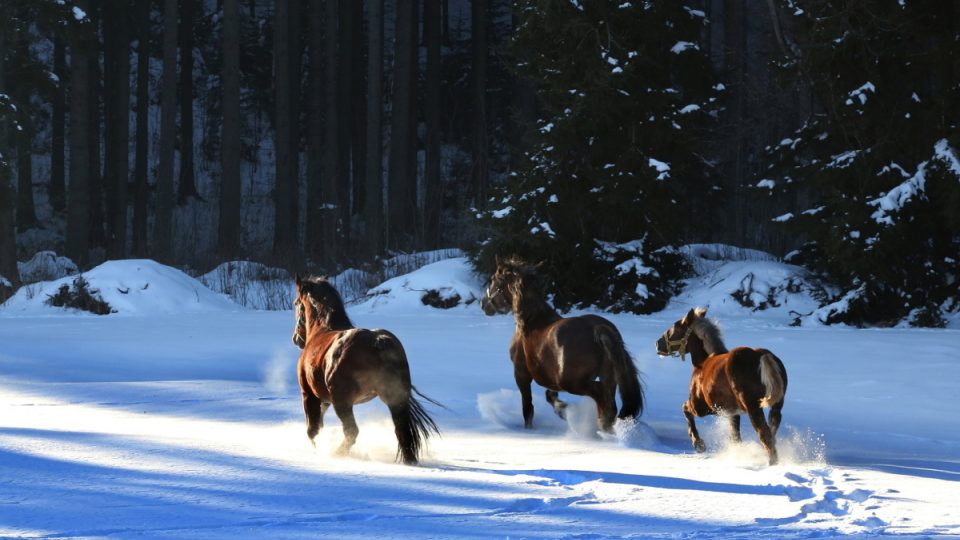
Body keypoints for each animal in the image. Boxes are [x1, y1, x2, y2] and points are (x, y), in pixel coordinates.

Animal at [292, 274, 442, 464]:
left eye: (296, 303)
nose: (296, 339)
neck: (321, 331)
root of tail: (378, 342)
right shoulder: (324, 399)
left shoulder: (309, 394)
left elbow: (313, 430)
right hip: (395, 400)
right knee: (401, 430)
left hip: (343, 402)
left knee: (352, 431)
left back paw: (339, 454)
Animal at [480, 255, 644, 432]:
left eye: (493, 279)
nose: (483, 304)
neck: (531, 322)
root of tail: (597, 329)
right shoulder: (550, 381)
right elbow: (549, 396)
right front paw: (562, 409)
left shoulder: (521, 373)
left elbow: (528, 408)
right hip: (608, 378)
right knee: (608, 402)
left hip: (572, 382)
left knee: (602, 397)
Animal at [656, 308, 792, 464]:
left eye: (675, 328)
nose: (657, 344)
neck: (703, 363)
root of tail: (762, 355)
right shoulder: (732, 413)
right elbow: (735, 436)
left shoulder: (703, 408)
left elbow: (685, 409)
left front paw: (699, 444)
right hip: (776, 405)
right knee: (772, 429)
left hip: (753, 408)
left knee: (764, 433)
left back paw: (772, 463)